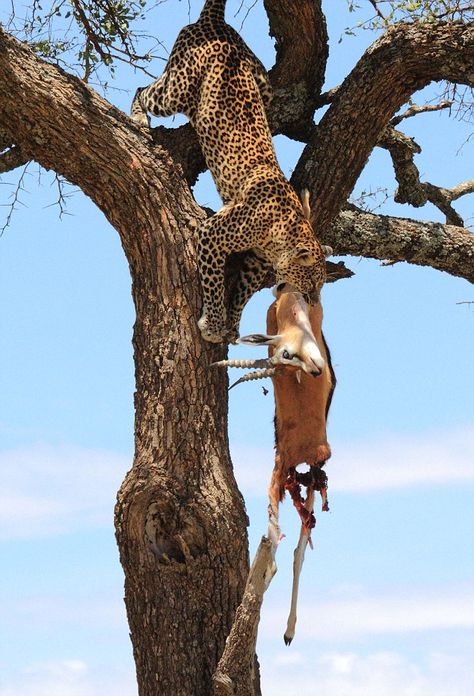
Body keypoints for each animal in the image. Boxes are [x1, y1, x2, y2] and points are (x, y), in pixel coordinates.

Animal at [131, 0, 328, 342]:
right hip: (175, 90)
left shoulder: (257, 259)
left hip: (264, 87)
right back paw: (138, 117)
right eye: (313, 282)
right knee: (144, 88)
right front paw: (212, 323)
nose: (314, 302)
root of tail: (215, 23)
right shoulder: (212, 234)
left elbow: (244, 290)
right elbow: (213, 281)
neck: (284, 230)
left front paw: (233, 323)